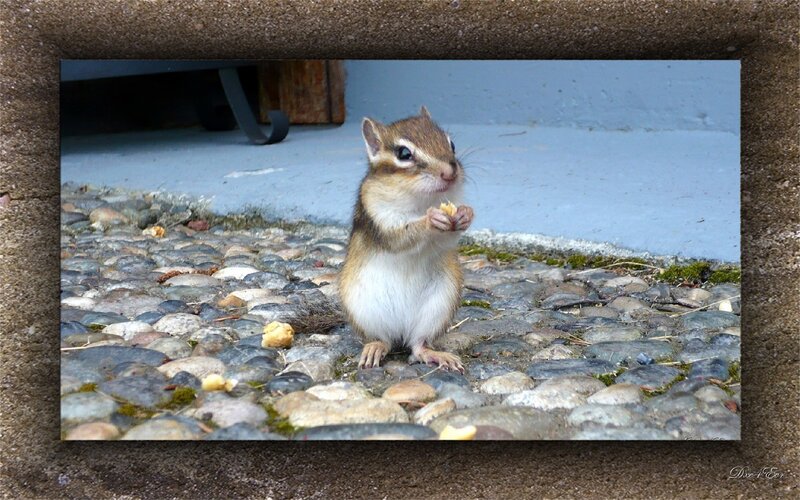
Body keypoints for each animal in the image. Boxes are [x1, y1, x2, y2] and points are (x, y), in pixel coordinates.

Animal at [338, 106, 474, 372]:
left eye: (451, 144)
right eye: (404, 153)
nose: (450, 173)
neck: (419, 201)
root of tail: (401, 331)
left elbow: (449, 239)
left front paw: (465, 214)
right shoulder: (377, 217)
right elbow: (399, 237)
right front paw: (430, 220)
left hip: (438, 307)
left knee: (418, 345)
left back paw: (437, 355)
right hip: (364, 311)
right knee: (383, 340)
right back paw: (374, 348)